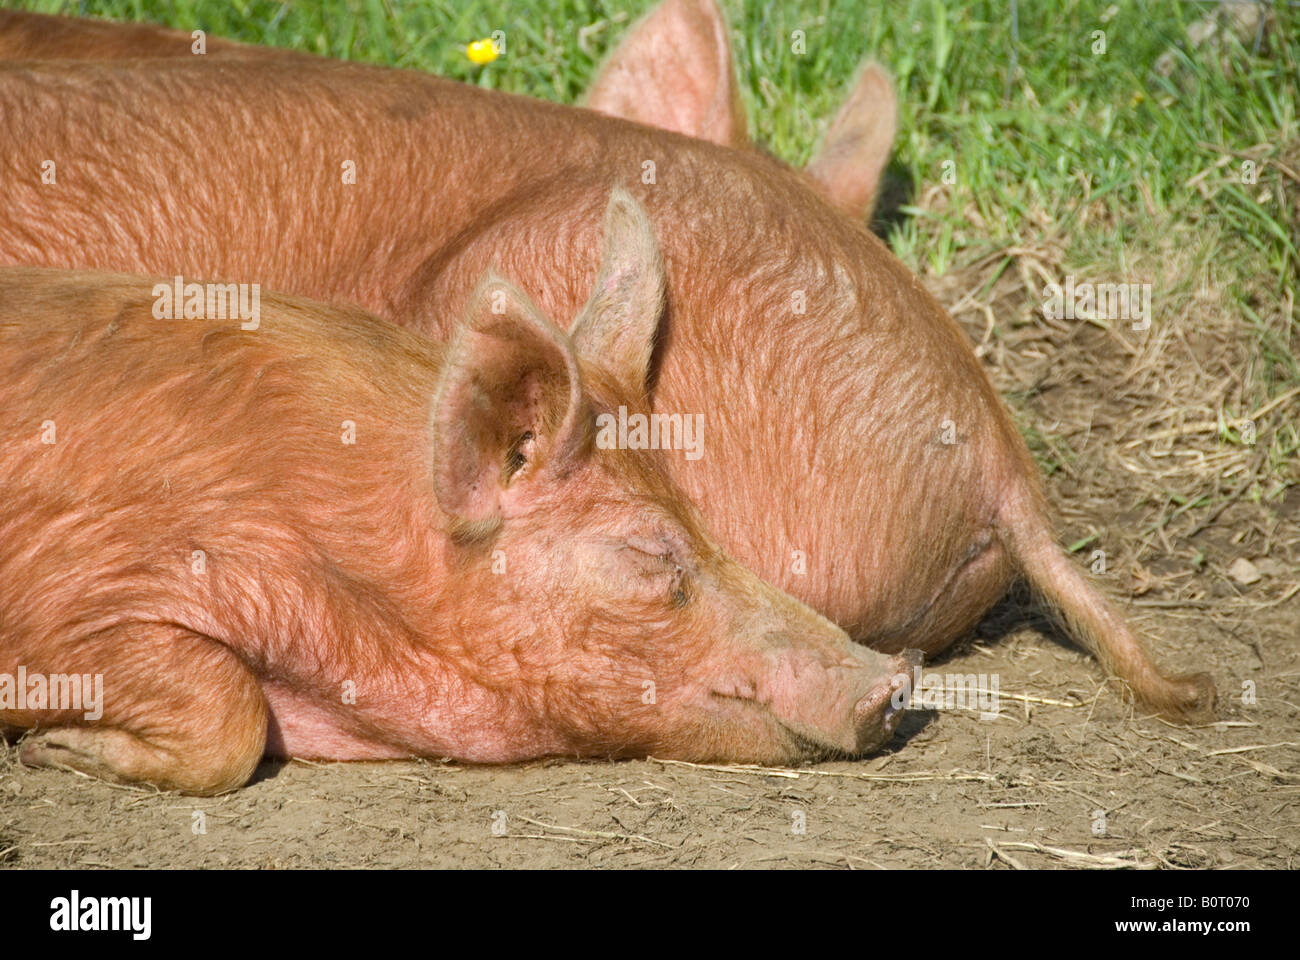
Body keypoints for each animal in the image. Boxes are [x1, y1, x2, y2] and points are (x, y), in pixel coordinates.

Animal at [0, 188, 920, 790]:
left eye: (704, 521)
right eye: (651, 554)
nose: (898, 676)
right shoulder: (71, 588)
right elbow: (228, 711)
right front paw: (52, 750)